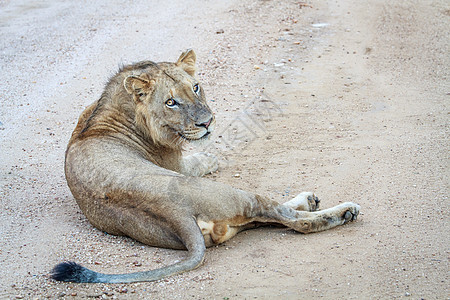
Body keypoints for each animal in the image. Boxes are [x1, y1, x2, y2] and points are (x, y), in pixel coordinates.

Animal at [51, 49, 360, 284]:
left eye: (196, 87)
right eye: (171, 102)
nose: (207, 122)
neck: (112, 111)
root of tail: (175, 215)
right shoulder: (178, 164)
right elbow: (198, 160)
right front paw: (211, 157)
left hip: (229, 221)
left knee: (267, 217)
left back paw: (310, 201)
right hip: (232, 195)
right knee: (290, 219)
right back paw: (341, 211)